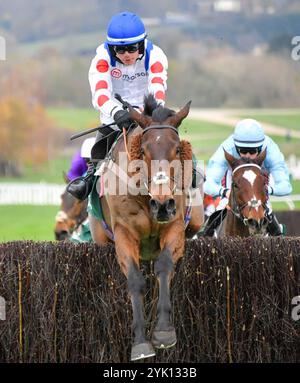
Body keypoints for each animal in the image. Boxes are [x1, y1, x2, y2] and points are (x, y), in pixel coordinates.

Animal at [89, 94, 204, 362]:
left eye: (176, 149)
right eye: (143, 150)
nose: (162, 204)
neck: (146, 197)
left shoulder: (174, 226)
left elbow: (164, 266)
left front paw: (163, 332)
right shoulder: (124, 233)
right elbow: (135, 281)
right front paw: (141, 343)